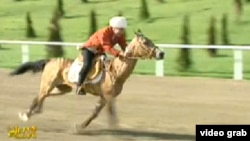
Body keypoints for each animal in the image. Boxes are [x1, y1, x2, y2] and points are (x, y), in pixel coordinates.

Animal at [10, 29, 166, 129]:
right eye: (145, 42)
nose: (161, 53)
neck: (116, 72)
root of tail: (50, 60)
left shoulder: (105, 97)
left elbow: (95, 114)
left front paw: (80, 126)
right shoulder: (108, 96)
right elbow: (111, 115)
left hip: (62, 88)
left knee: (43, 97)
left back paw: (34, 112)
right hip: (48, 84)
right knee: (39, 96)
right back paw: (26, 115)